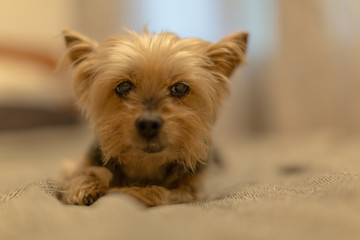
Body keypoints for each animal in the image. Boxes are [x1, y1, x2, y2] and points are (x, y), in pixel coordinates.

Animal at [59, 27, 249, 206]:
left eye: (180, 88)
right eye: (123, 86)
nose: (148, 123)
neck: (147, 162)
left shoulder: (190, 189)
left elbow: (158, 193)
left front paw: (121, 191)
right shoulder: (82, 162)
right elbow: (80, 171)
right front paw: (86, 186)